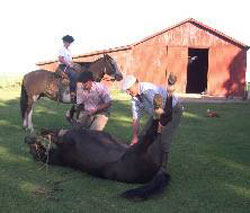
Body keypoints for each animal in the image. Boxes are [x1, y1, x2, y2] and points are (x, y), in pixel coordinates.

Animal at [25, 95, 174, 200]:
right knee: (153, 134)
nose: (28, 140)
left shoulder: (75, 129)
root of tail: (160, 172)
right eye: (33, 150)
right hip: (142, 151)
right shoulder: (65, 139)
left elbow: (67, 121)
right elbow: (58, 132)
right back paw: (159, 106)